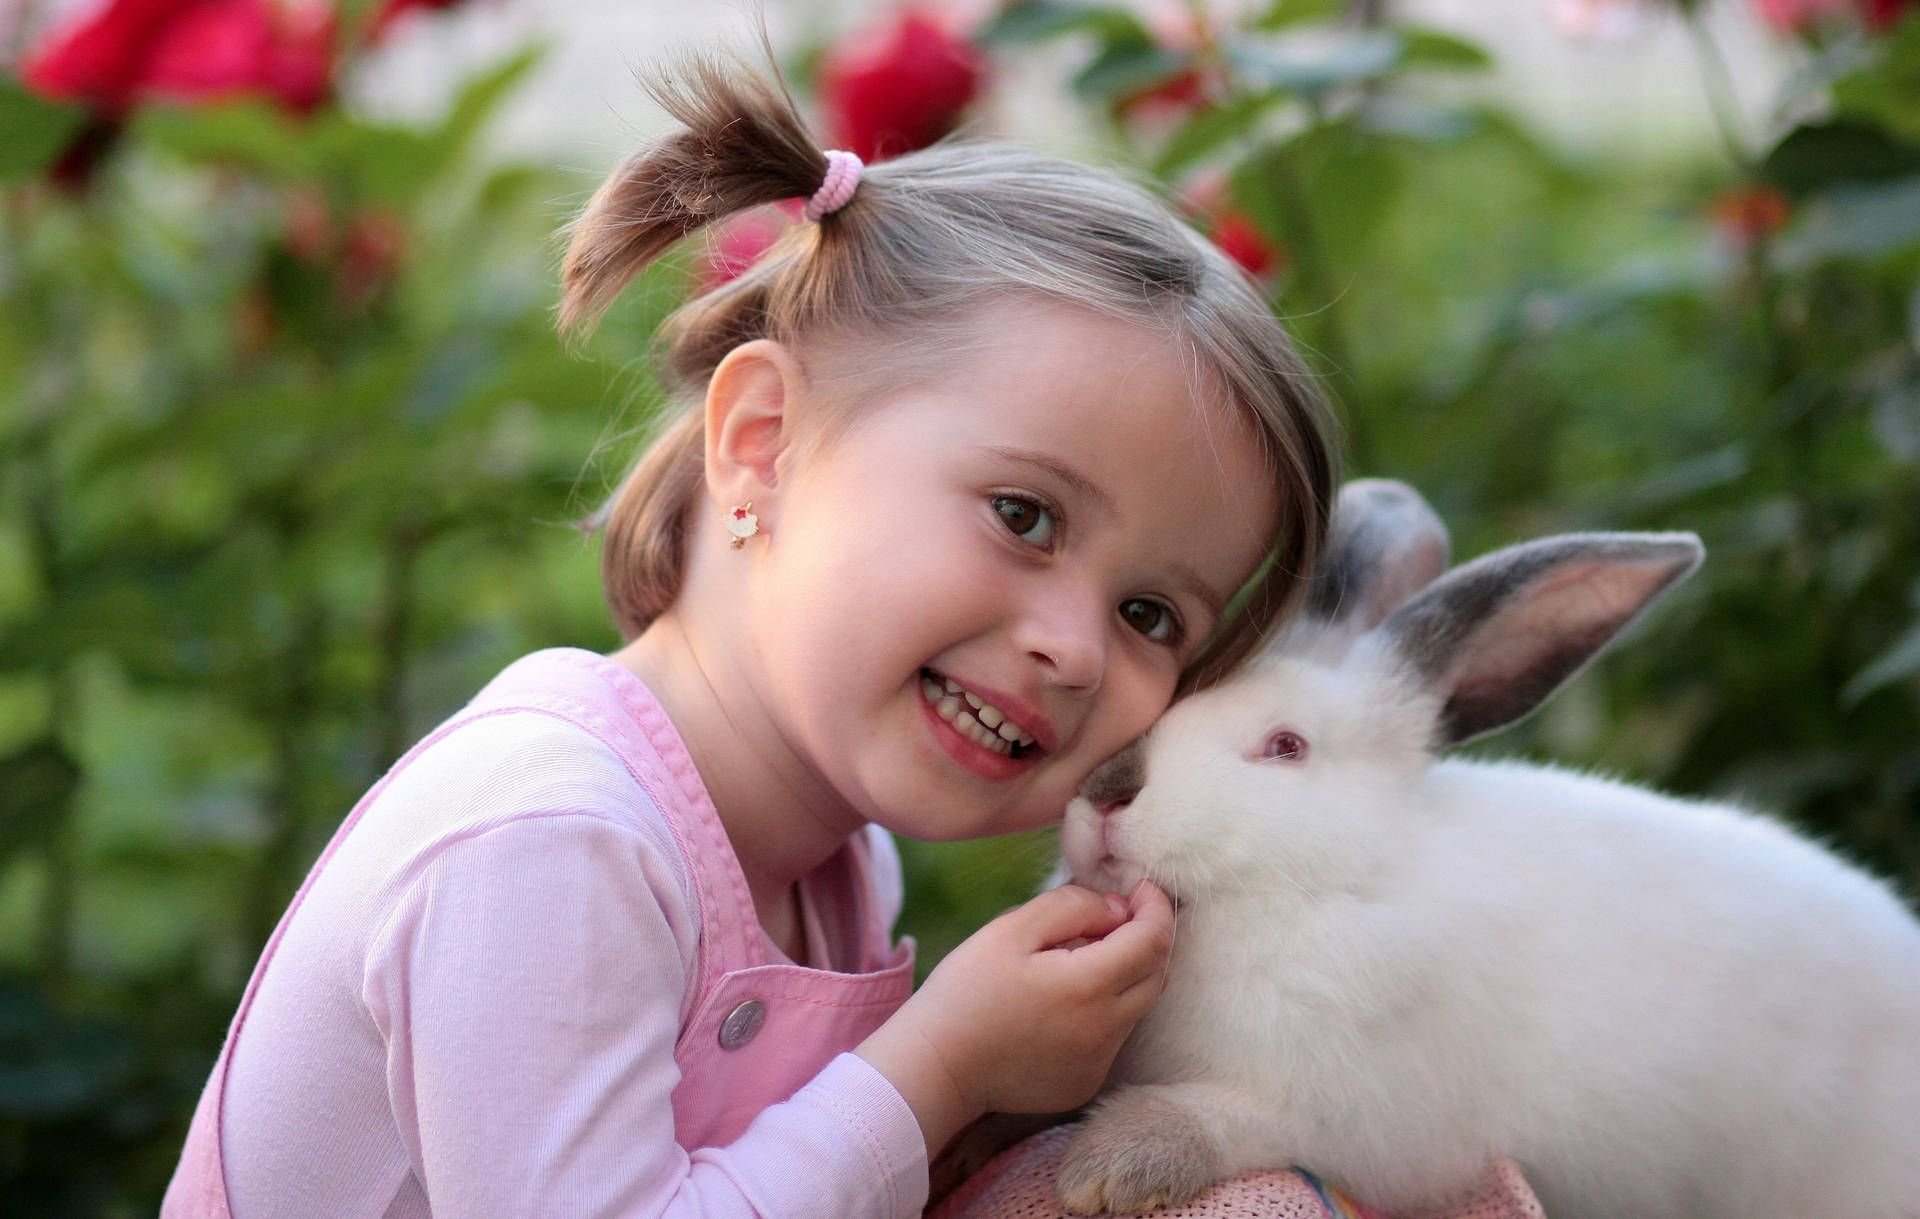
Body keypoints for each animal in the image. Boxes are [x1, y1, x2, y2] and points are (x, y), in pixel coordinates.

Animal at [1059, 481, 1920, 1213]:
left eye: (1286, 746)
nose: (1106, 790)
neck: (1331, 885)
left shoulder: (1350, 1117)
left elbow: (1226, 1118)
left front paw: (1106, 1167)